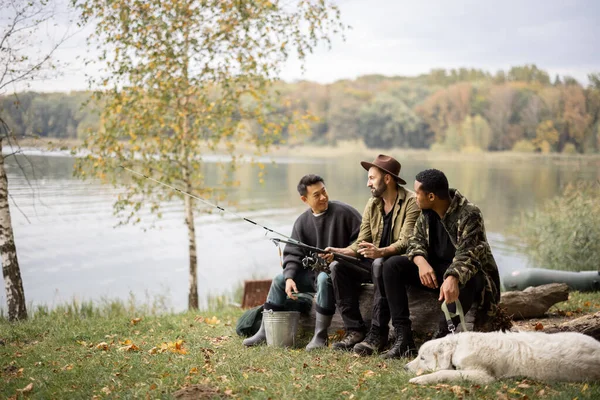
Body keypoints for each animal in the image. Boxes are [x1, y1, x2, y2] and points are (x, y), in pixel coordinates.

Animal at [406, 332, 600, 384]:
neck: (457, 346)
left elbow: (444, 373)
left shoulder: (482, 375)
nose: (404, 367)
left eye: (422, 358)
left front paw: (420, 379)